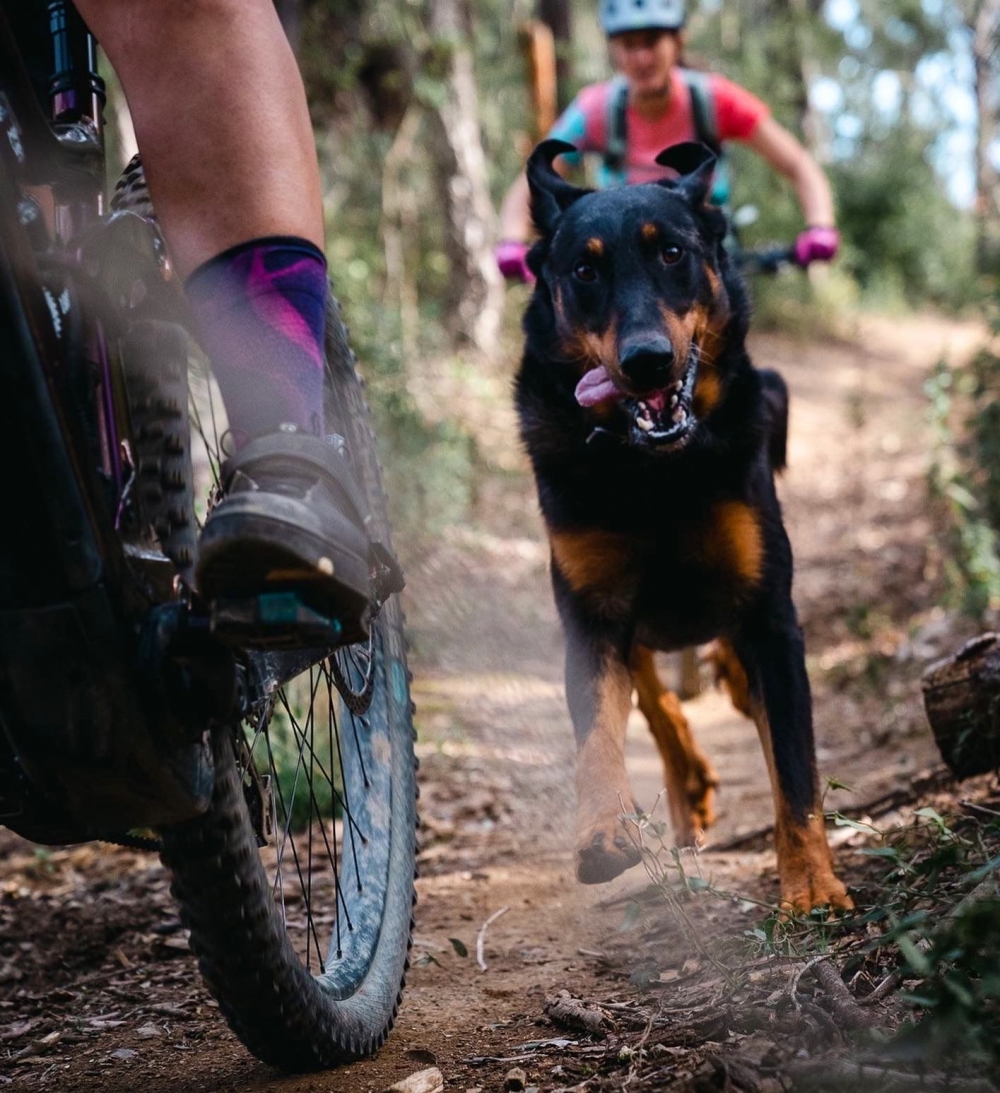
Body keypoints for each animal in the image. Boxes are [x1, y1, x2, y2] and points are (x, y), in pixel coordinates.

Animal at [515, 143, 852, 913]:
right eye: (585, 270)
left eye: (672, 252)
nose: (646, 361)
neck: (656, 472)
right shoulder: (592, 609)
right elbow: (599, 727)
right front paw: (605, 829)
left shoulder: (770, 616)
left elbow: (796, 769)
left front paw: (812, 882)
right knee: (655, 697)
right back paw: (683, 785)